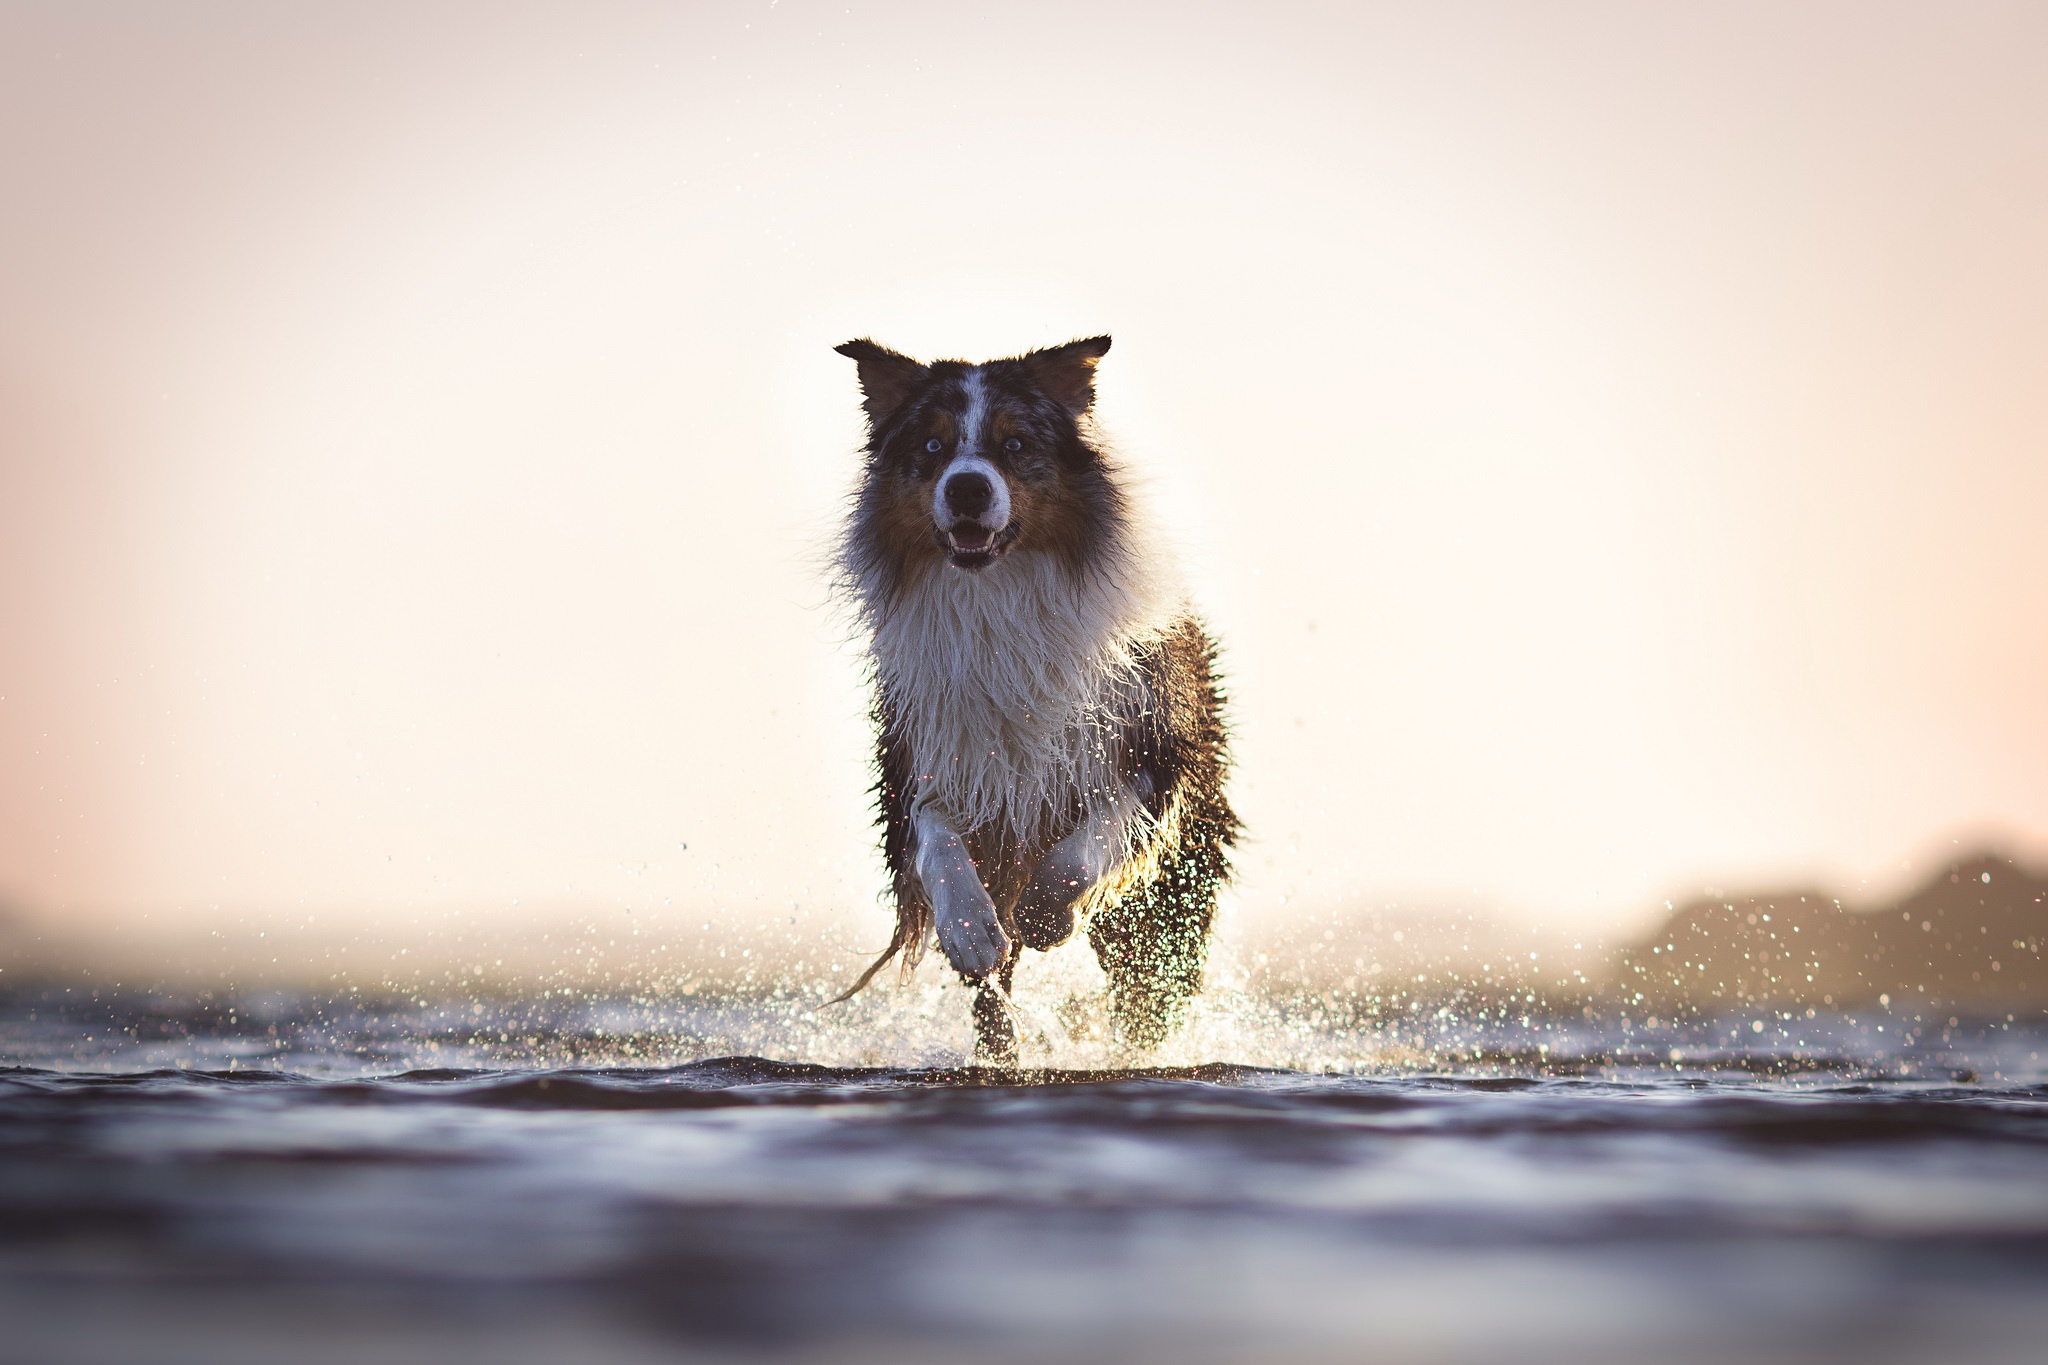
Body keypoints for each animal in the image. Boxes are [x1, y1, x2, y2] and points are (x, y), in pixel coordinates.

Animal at [827, 335, 1228, 1064]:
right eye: (932, 446)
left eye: (1014, 444)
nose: (966, 486)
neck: (997, 602)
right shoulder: (923, 756)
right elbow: (936, 839)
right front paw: (969, 927)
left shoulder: (1153, 748)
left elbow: (1095, 835)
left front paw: (1045, 911)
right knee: (995, 996)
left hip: (1169, 900)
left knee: (1149, 992)